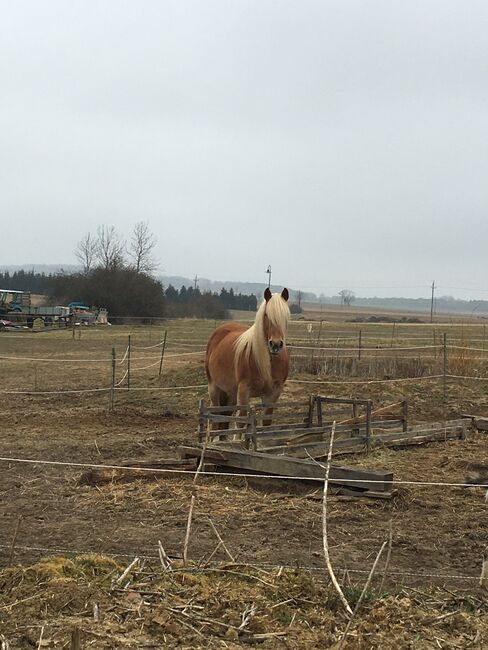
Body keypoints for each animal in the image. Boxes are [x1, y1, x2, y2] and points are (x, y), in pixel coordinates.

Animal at [205, 288, 290, 426]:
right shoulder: (244, 391)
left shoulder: (274, 392)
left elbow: (266, 422)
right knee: (215, 418)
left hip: (231, 393)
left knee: (225, 418)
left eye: (286, 317)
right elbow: (241, 421)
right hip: (214, 388)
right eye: (266, 315)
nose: (276, 345)